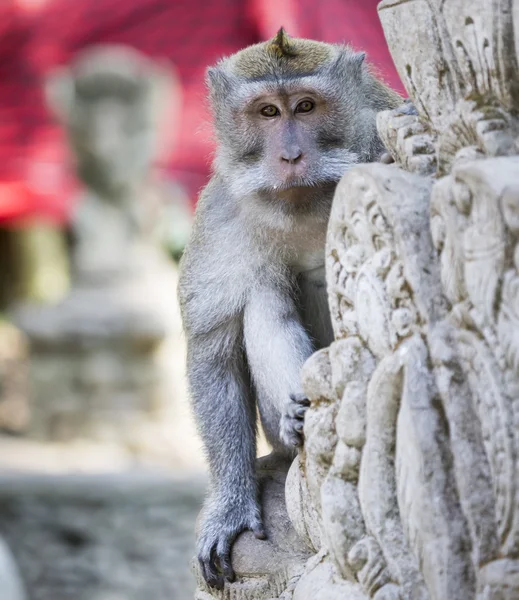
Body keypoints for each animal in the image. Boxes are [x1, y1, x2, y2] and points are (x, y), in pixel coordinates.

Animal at [179, 27, 402, 584]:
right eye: (267, 113)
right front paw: (231, 504)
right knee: (263, 292)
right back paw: (296, 423)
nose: (290, 156)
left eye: (305, 107)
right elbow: (214, 350)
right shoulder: (221, 216)